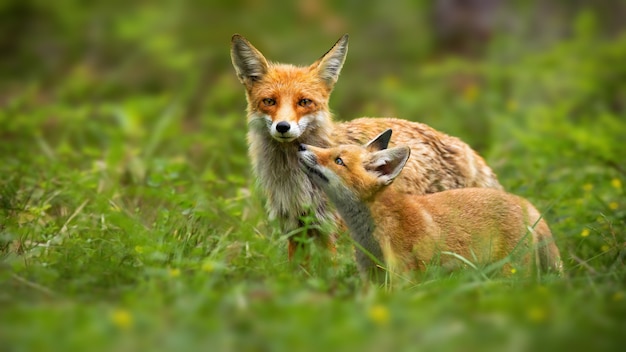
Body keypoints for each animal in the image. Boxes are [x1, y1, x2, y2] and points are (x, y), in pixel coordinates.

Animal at [232, 33, 500, 258]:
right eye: (269, 101)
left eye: (304, 102)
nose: (283, 127)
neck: (296, 182)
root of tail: (465, 147)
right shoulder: (295, 228)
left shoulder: (335, 232)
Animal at [296, 129, 560, 280]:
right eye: (331, 150)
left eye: (338, 160)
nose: (301, 146)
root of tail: (525, 203)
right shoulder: (371, 276)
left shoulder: (403, 275)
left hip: (510, 272)